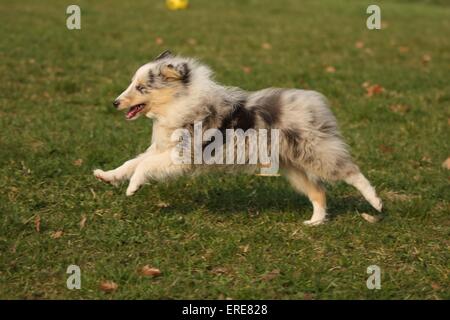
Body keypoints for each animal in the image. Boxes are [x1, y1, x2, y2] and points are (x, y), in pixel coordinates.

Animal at [93, 50, 382, 225]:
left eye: (141, 87)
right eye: (133, 84)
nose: (114, 102)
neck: (178, 102)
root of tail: (314, 101)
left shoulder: (182, 156)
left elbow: (143, 165)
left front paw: (133, 187)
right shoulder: (162, 149)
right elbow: (132, 162)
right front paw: (107, 176)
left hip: (315, 152)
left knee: (351, 172)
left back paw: (376, 203)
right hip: (293, 166)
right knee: (319, 192)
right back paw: (315, 222)